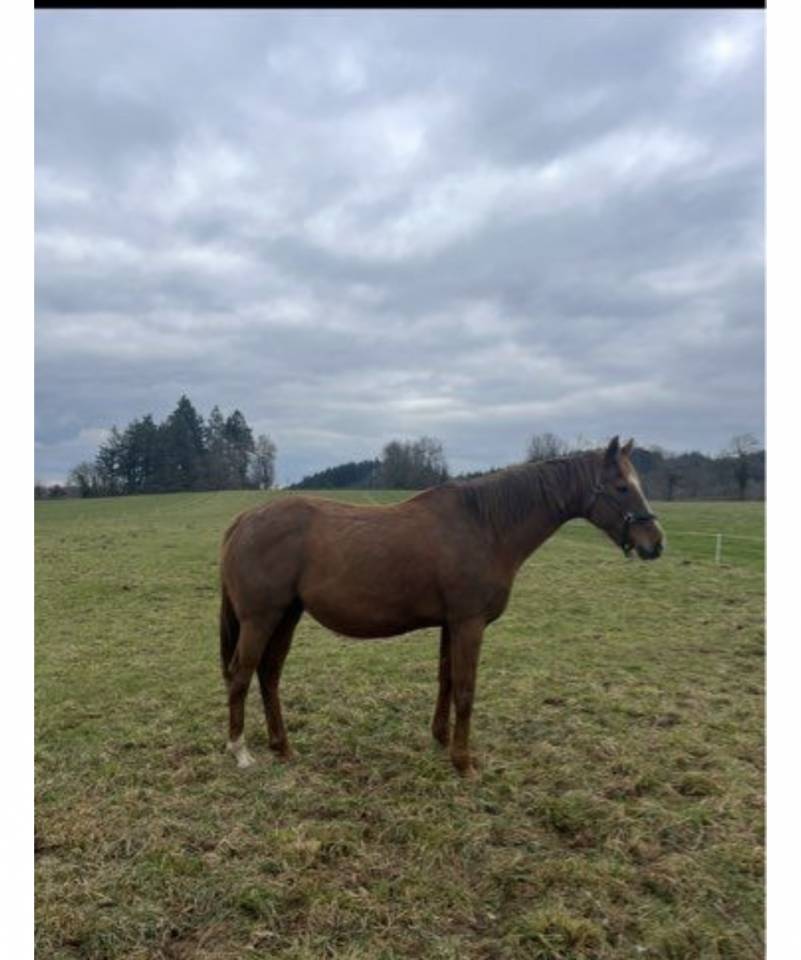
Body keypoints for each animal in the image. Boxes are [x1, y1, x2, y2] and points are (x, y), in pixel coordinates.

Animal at [218, 435, 664, 775]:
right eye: (621, 486)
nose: (655, 543)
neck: (485, 527)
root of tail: (245, 519)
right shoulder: (469, 623)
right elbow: (465, 689)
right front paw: (464, 762)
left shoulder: (452, 623)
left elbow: (446, 679)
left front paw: (442, 739)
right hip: (260, 618)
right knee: (241, 674)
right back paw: (240, 751)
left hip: (286, 616)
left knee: (269, 674)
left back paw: (282, 746)